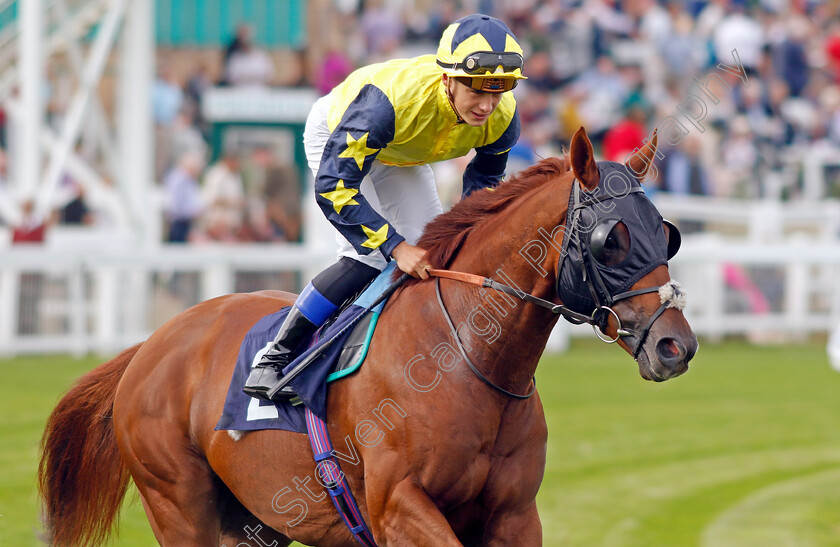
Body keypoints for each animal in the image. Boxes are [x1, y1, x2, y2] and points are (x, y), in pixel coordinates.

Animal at [39, 126, 696, 544]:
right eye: (613, 239)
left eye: (667, 234)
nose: (676, 346)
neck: (465, 357)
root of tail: (148, 347)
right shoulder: (397, 507)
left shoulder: (513, 516)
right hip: (177, 502)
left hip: (256, 518)